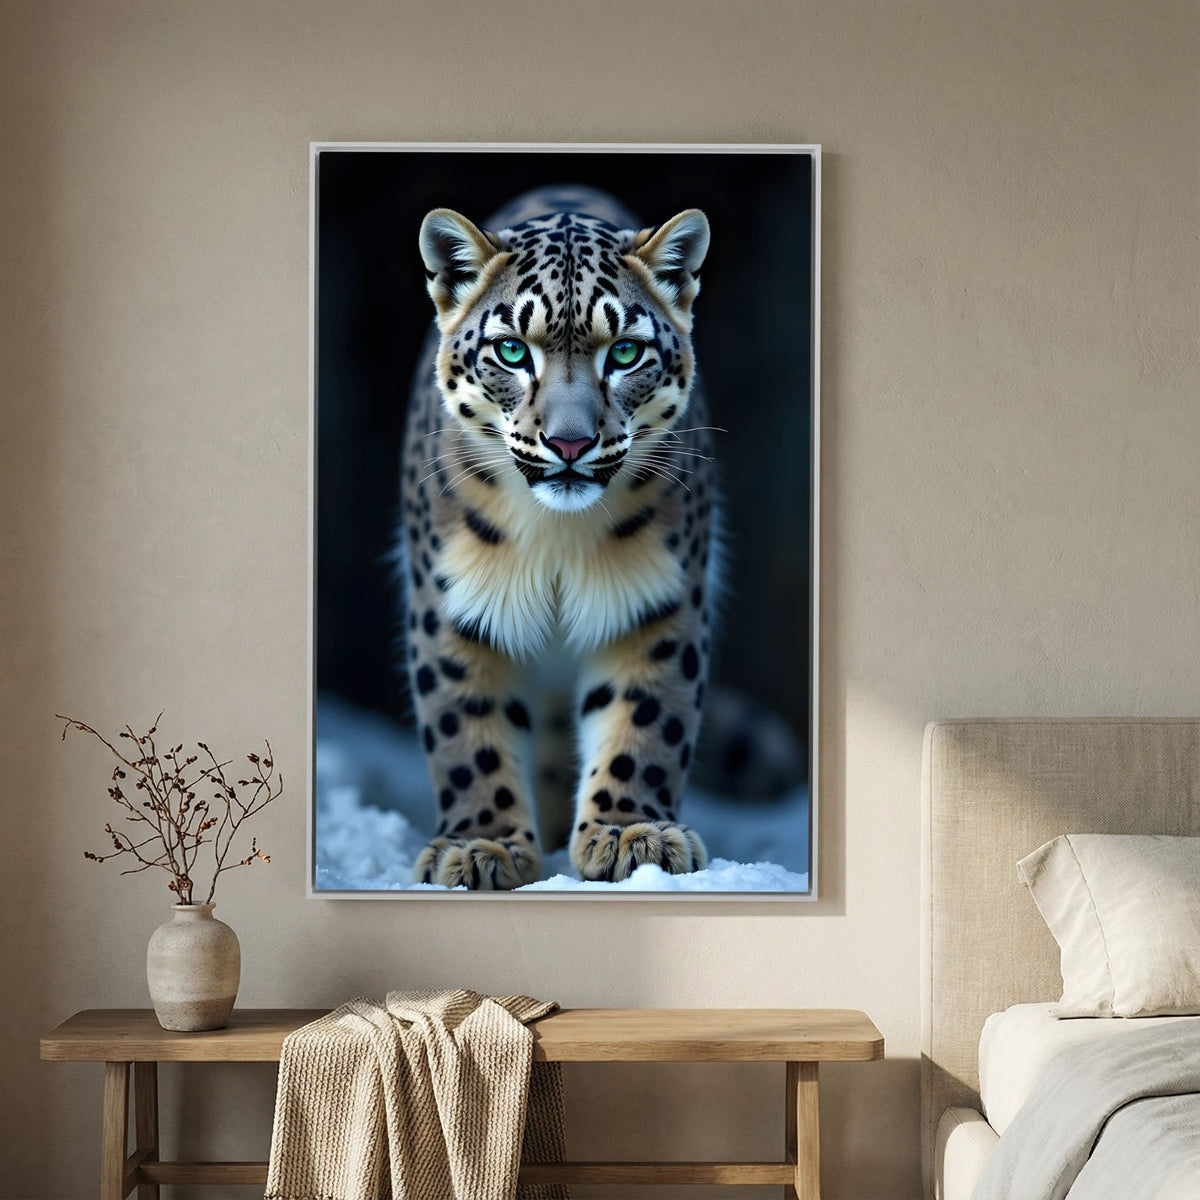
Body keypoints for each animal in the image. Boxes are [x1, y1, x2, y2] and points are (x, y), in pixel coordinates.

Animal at [397, 184, 719, 890]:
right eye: (513, 350)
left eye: (624, 352)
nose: (570, 443)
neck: (557, 538)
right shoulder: (453, 606)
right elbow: (467, 730)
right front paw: (481, 846)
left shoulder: (658, 601)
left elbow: (645, 718)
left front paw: (631, 834)